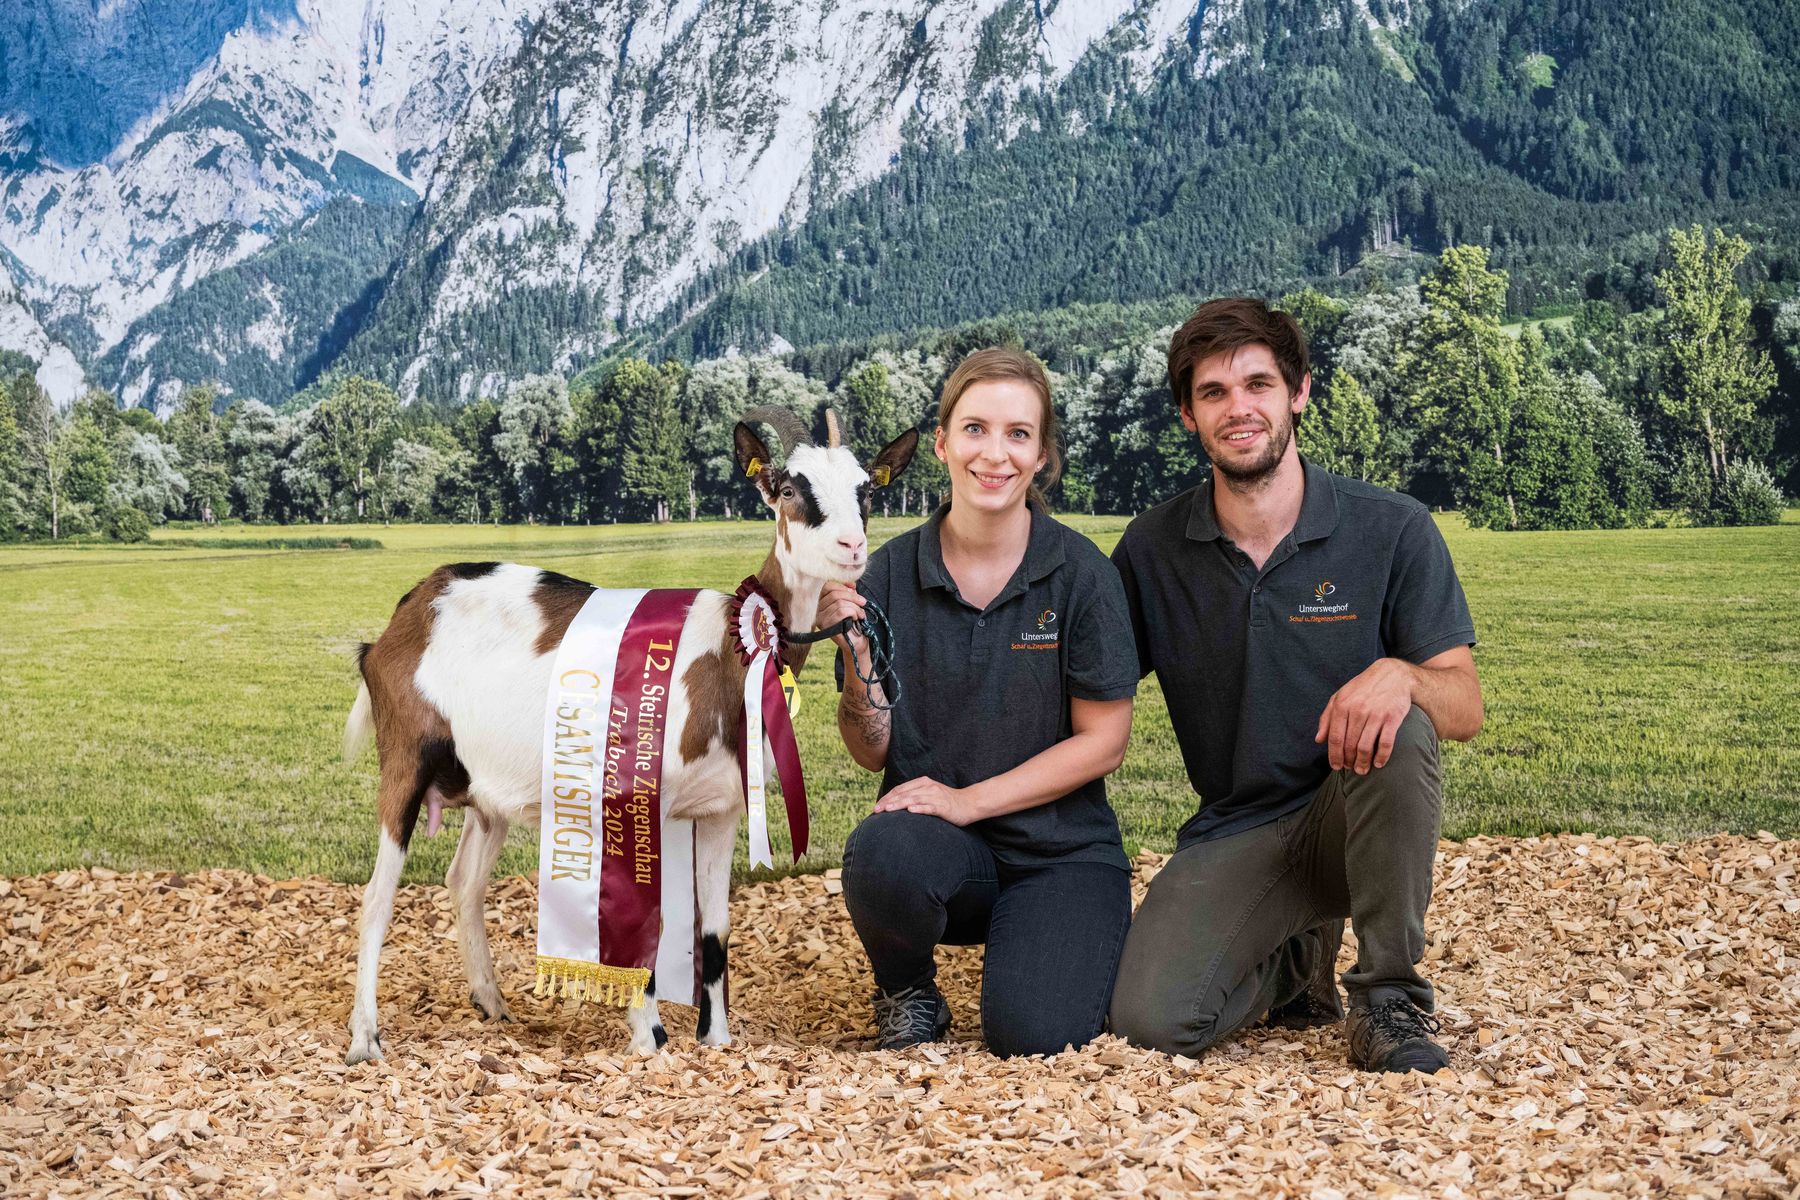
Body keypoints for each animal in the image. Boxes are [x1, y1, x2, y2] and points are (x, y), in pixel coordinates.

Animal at [345, 410, 921, 1057]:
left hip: (485, 787)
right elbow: (652, 923)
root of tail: (403, 617)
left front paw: (716, 1038)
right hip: (406, 757)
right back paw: (366, 1036)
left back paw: (491, 1003)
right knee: (377, 895)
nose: (852, 548)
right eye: (790, 491)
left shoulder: (719, 808)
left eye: (867, 491)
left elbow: (714, 926)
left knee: (463, 880)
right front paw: (649, 1037)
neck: (730, 655)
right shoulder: (638, 802)